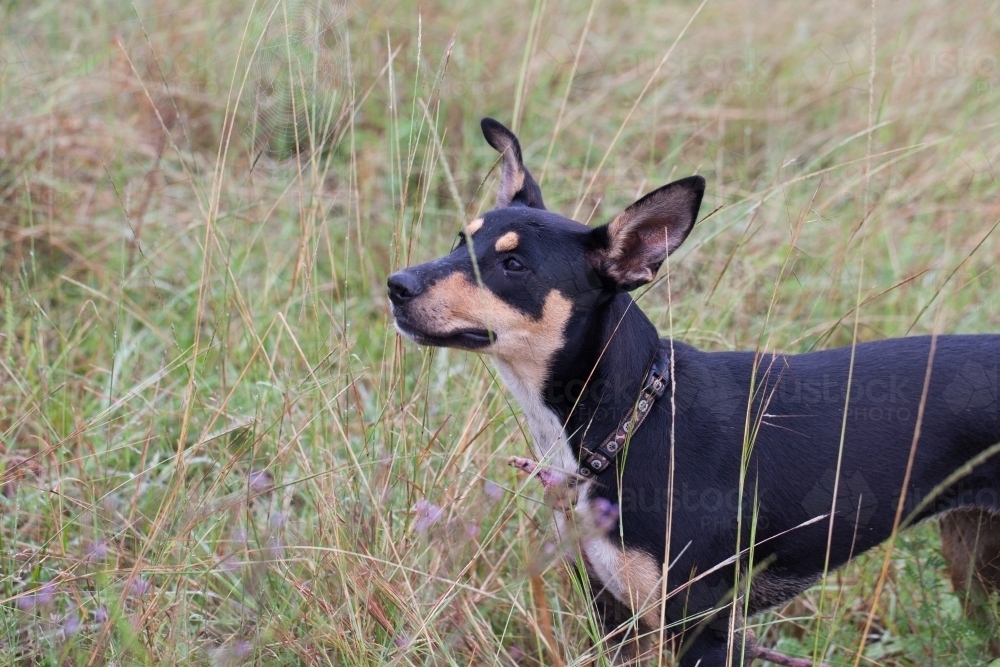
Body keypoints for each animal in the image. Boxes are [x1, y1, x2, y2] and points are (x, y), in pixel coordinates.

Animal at [384, 120, 1000, 667]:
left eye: (513, 264)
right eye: (460, 240)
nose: (396, 285)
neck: (632, 420)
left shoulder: (703, 630)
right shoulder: (616, 616)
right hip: (972, 558)